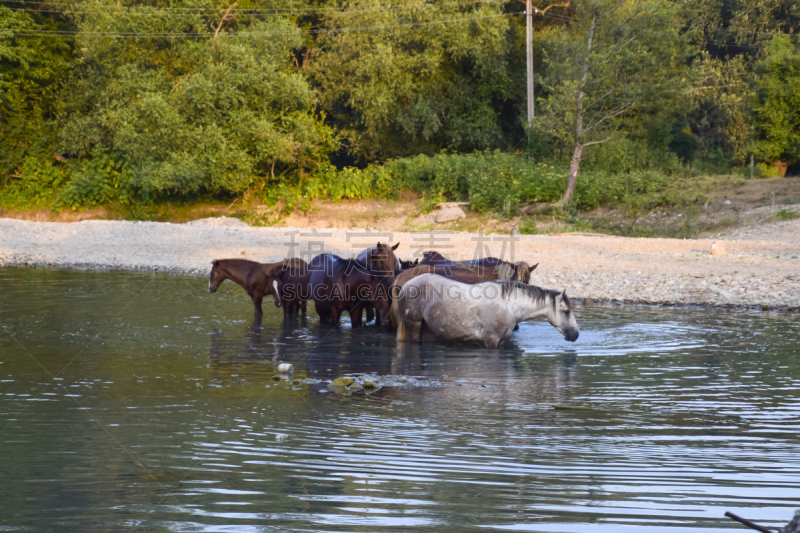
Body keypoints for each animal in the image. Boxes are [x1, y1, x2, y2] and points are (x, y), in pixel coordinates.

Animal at [396, 274, 580, 350]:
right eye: (566, 311)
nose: (576, 335)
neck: (509, 305)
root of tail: (406, 285)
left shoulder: (502, 341)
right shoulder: (490, 340)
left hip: (428, 328)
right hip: (414, 324)